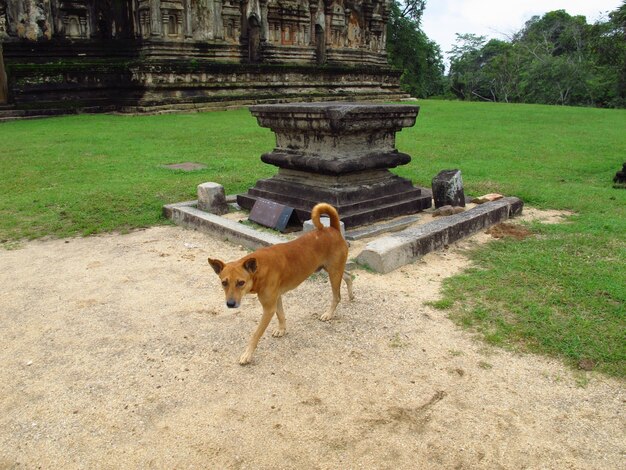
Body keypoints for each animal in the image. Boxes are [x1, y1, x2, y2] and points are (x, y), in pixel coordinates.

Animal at [208, 202, 352, 364]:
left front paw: (248, 354)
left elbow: (256, 334)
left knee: (337, 296)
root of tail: (333, 228)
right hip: (334, 270)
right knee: (349, 276)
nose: (230, 304)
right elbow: (281, 315)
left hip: (333, 273)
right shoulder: (276, 298)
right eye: (224, 283)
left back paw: (328, 314)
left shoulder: (268, 308)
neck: (259, 270)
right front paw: (282, 330)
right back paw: (351, 295)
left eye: (241, 283)